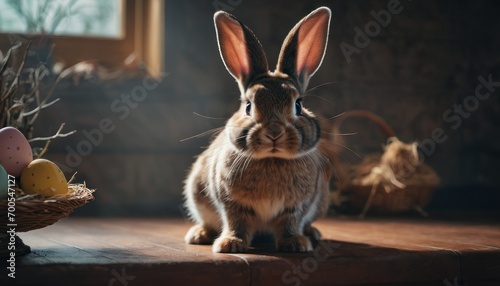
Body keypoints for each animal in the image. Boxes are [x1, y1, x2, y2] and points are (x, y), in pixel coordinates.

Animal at [184, 6, 336, 252]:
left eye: (298, 105)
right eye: (248, 106)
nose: (274, 132)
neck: (271, 159)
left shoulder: (295, 207)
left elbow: (290, 222)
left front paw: (295, 244)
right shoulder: (232, 203)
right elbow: (236, 222)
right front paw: (230, 244)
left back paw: (313, 234)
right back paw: (198, 235)